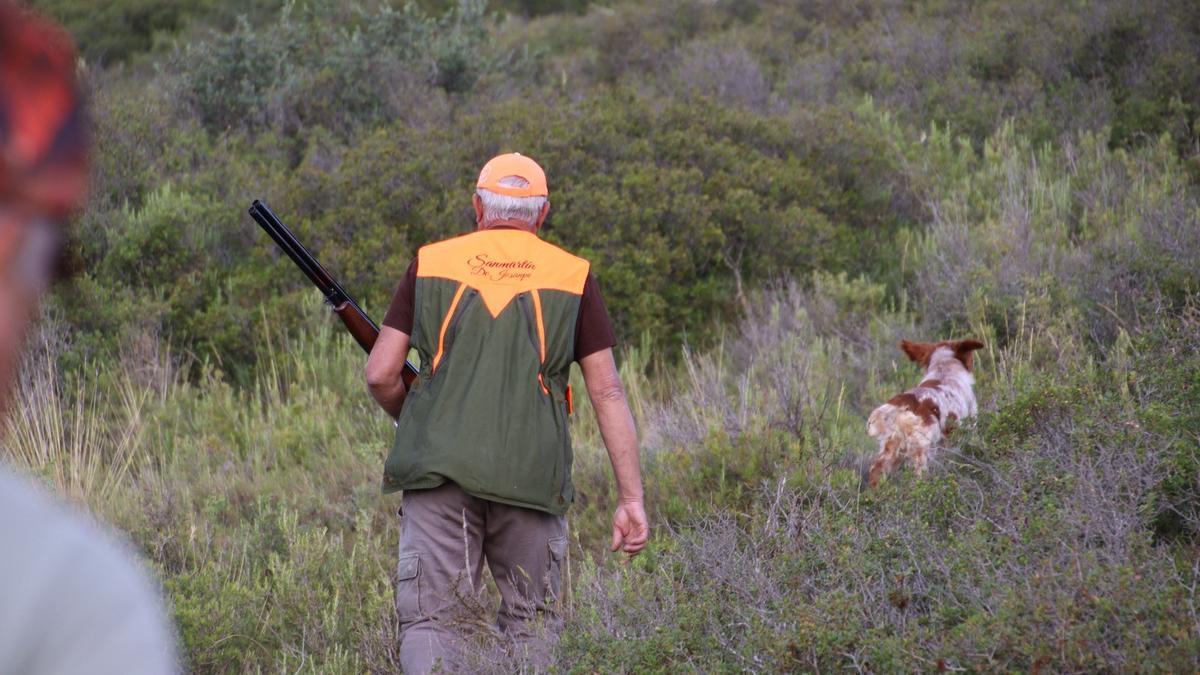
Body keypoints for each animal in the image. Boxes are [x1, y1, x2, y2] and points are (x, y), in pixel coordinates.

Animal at [864, 338, 984, 485]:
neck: (943, 371)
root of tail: (901, 404)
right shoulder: (967, 428)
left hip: (891, 449)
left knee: (876, 470)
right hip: (920, 450)